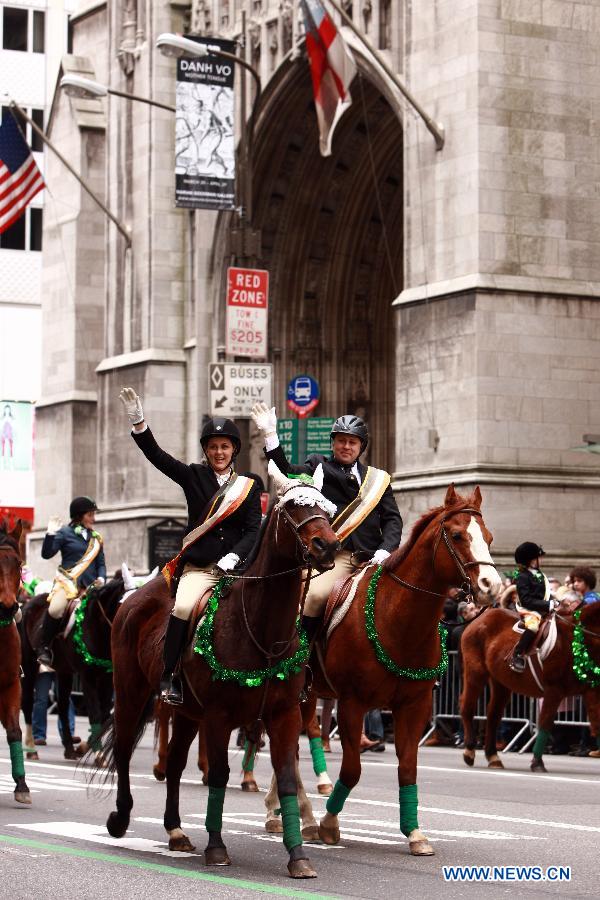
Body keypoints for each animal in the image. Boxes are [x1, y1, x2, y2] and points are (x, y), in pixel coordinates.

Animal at [20, 576, 125, 760]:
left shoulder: (106, 677)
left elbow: (105, 714)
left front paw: (87, 747)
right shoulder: (87, 676)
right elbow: (95, 712)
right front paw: (98, 753)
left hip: (64, 671)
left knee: (62, 705)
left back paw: (69, 748)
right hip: (29, 664)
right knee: (27, 703)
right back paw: (32, 749)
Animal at [103, 464, 342, 880]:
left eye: (327, 509)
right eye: (290, 509)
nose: (327, 546)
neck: (262, 629)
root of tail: (135, 595)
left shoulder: (283, 714)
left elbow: (287, 779)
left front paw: (298, 855)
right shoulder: (218, 715)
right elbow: (217, 775)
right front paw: (217, 847)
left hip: (185, 711)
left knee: (175, 764)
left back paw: (176, 831)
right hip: (132, 691)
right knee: (123, 748)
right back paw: (121, 818)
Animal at [300, 488, 502, 856]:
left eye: (489, 537)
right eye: (457, 535)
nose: (491, 586)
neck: (396, 620)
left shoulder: (415, 706)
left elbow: (407, 770)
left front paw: (415, 834)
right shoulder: (353, 704)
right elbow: (352, 770)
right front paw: (329, 824)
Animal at [460, 600, 600, 768]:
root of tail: (482, 617)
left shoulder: (591, 691)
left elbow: (597, 723)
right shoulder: (554, 691)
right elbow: (545, 723)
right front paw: (537, 763)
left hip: (501, 683)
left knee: (493, 716)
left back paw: (493, 756)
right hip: (475, 673)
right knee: (467, 707)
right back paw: (469, 751)